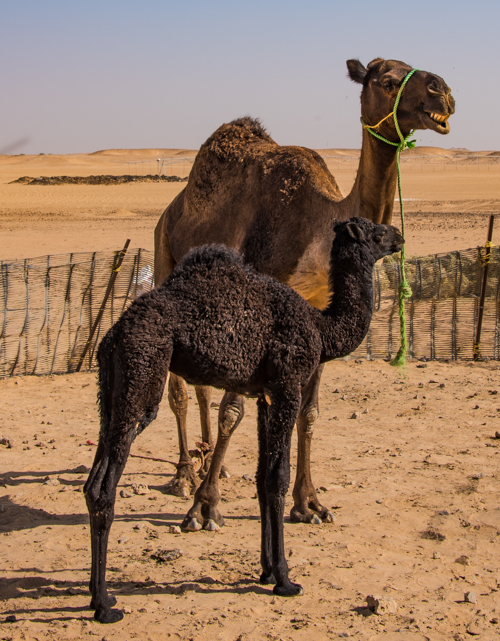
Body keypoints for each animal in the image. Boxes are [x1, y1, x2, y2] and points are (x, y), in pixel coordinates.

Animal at [85, 215, 402, 620]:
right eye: (377, 232)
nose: (398, 236)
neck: (321, 326)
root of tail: (112, 334)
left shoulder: (264, 397)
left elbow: (262, 480)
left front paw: (267, 572)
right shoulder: (287, 386)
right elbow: (277, 478)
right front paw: (286, 581)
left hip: (110, 392)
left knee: (94, 477)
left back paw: (102, 596)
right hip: (141, 373)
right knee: (106, 483)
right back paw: (104, 606)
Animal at [154, 56, 456, 528]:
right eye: (389, 82)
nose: (442, 91)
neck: (320, 227)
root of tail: (170, 210)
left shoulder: (317, 311)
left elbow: (308, 413)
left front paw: (308, 502)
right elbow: (233, 412)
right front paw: (205, 507)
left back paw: (205, 462)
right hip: (163, 251)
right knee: (180, 390)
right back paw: (186, 474)